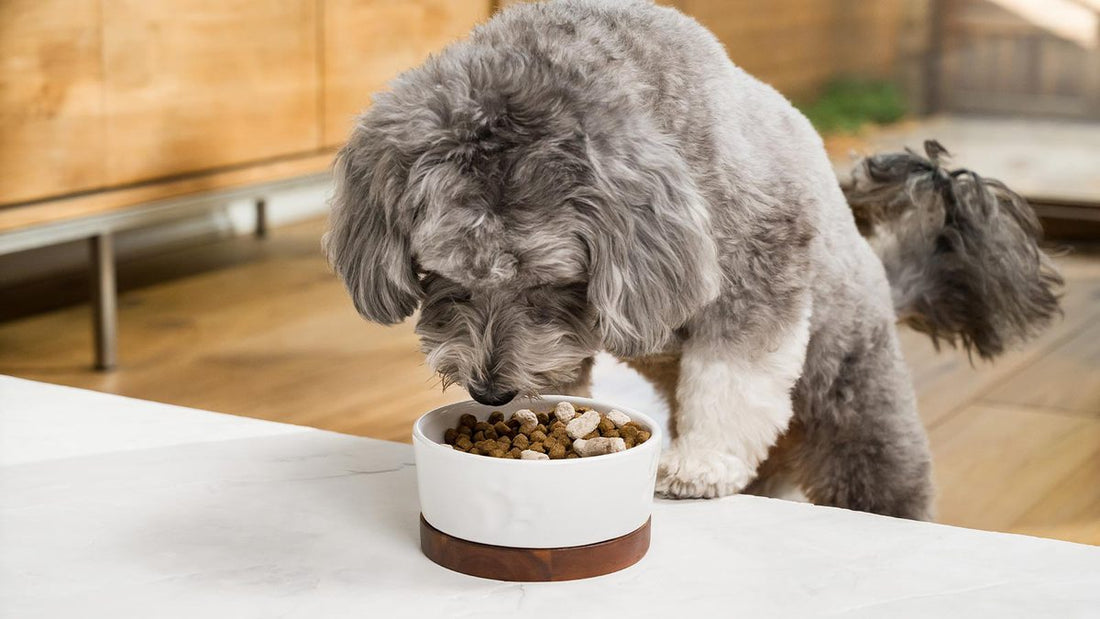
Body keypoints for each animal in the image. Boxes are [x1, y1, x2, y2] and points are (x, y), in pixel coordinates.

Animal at [323, 2, 1056, 521]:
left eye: (549, 282)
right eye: (440, 274)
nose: (490, 392)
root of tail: (884, 281)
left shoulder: (761, 270)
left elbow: (733, 374)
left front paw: (699, 466)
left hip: (859, 414)